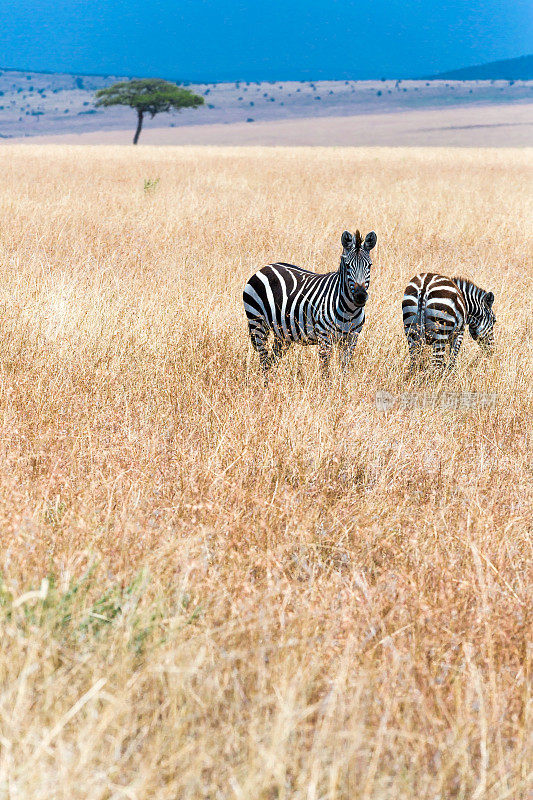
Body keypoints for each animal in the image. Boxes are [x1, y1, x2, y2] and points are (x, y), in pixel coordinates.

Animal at [243, 228, 376, 378]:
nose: (360, 296)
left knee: (271, 360)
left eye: (369, 265)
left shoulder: (351, 340)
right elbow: (325, 373)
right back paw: (264, 384)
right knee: (264, 359)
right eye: (347, 266)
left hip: (282, 333)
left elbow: (344, 371)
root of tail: (265, 268)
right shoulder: (325, 339)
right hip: (257, 323)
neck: (350, 311)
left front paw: (343, 384)